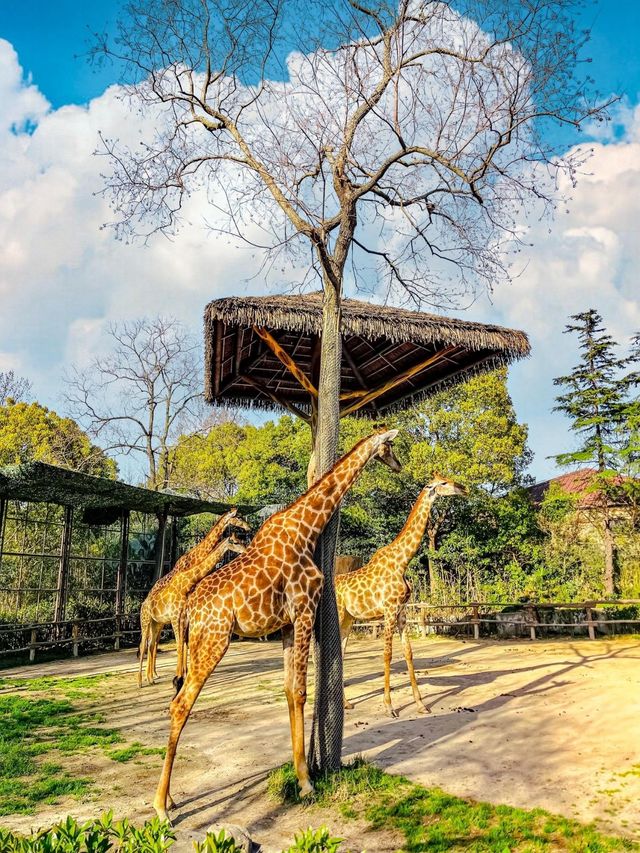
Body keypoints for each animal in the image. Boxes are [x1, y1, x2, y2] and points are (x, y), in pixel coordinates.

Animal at [138, 510, 250, 688]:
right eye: (238, 517)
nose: (249, 527)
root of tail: (148, 594)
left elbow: (185, 643)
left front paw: (184, 673)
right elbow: (183, 644)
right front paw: (181, 675)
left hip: (159, 622)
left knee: (152, 643)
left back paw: (153, 675)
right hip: (154, 620)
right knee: (148, 643)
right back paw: (146, 678)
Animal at [153, 426, 402, 820]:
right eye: (390, 446)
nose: (399, 466)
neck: (307, 528)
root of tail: (191, 607)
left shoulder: (286, 624)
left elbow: (288, 691)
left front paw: (300, 773)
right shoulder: (304, 610)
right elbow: (300, 691)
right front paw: (306, 782)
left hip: (196, 643)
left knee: (177, 695)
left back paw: (172, 798)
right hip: (215, 640)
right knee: (180, 704)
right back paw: (161, 806)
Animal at [338, 476, 468, 716]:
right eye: (443, 483)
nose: (463, 488)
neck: (402, 562)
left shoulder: (401, 612)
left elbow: (408, 652)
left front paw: (421, 704)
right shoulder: (389, 610)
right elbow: (388, 653)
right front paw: (389, 706)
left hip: (348, 620)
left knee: (339, 653)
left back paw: (346, 703)